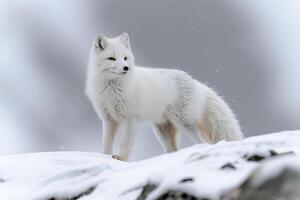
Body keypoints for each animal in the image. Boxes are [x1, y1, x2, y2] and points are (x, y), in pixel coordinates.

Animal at [85, 32, 243, 161]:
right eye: (111, 58)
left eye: (125, 58)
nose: (126, 68)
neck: (112, 89)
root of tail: (196, 82)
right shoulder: (109, 120)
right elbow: (106, 143)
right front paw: (103, 156)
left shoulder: (130, 118)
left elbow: (125, 143)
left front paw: (121, 158)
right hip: (163, 130)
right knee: (173, 149)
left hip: (184, 123)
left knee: (205, 143)